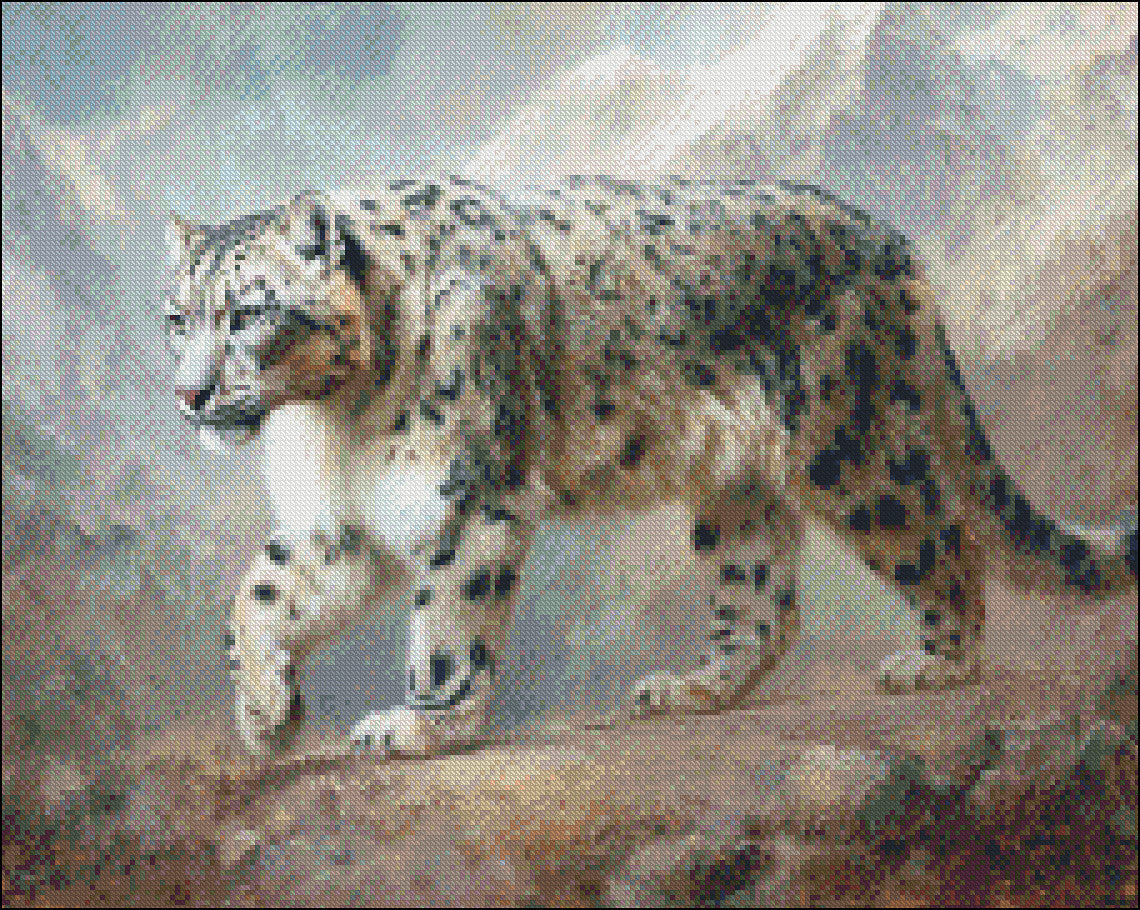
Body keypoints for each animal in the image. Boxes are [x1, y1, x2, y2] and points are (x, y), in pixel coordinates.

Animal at [163, 175, 1139, 759]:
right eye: (178, 317)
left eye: (247, 314)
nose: (189, 393)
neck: (333, 421)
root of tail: (889, 238)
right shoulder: (343, 522)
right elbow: (255, 597)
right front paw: (266, 717)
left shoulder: (468, 500)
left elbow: (447, 626)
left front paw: (422, 724)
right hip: (738, 489)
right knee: (763, 601)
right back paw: (693, 688)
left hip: (854, 454)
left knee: (944, 541)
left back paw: (939, 663)